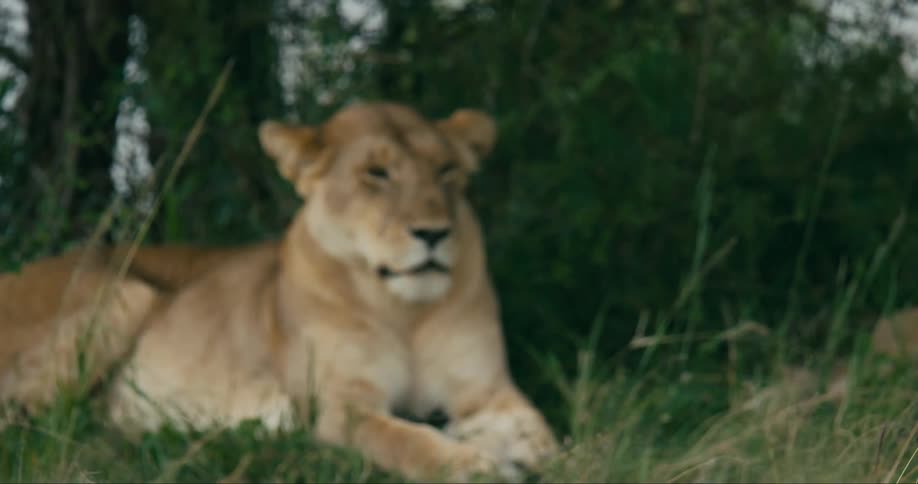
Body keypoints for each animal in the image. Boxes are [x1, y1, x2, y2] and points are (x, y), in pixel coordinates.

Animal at [0, 102, 559, 482]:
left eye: (447, 171)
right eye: (376, 173)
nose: (434, 233)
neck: (403, 311)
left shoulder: (487, 393)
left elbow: (546, 439)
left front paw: (534, 458)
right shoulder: (340, 409)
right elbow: (407, 441)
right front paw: (476, 465)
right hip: (125, 294)